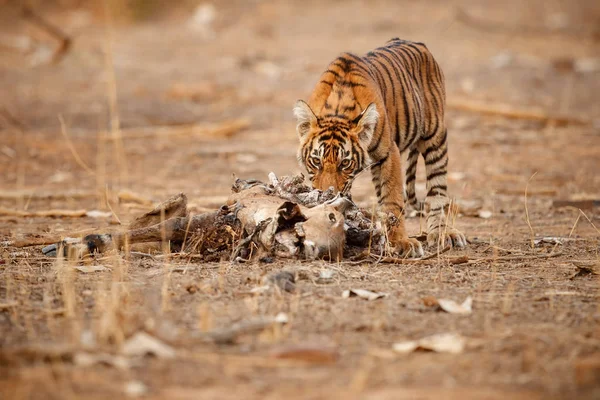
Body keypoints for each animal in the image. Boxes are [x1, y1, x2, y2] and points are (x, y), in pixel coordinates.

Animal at [292, 36, 466, 256]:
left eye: (345, 163)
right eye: (316, 161)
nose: (325, 197)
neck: (338, 110)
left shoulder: (388, 153)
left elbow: (392, 199)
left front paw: (402, 242)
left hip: (436, 137)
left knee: (437, 191)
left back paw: (442, 232)